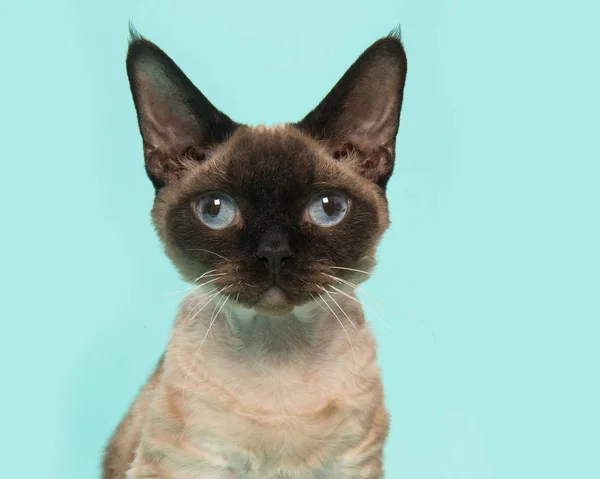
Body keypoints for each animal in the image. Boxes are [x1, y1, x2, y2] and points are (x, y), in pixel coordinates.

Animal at [104, 26, 408, 479]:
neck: (278, 350)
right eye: (215, 210)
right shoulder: (183, 464)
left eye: (328, 208)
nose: (274, 254)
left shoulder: (354, 465)